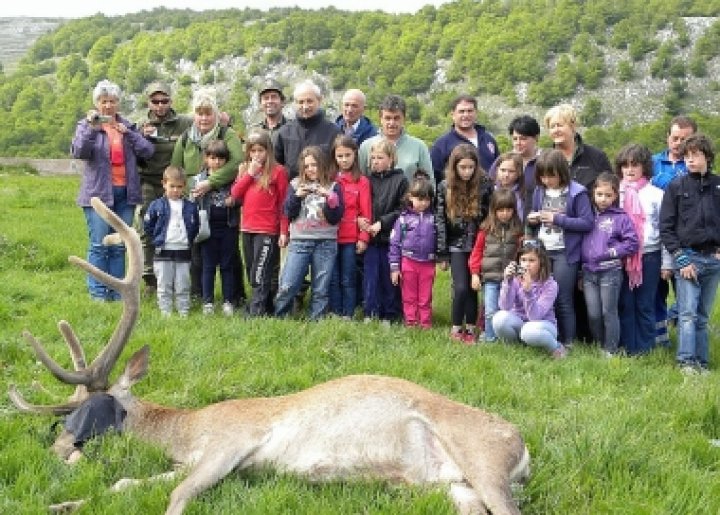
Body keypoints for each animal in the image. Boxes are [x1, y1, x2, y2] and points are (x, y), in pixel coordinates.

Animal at [8, 199, 532, 515]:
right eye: (62, 417)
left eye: (91, 409)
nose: (57, 452)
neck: (186, 433)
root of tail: (523, 449)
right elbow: (125, 485)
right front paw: (60, 505)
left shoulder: (232, 441)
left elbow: (175, 496)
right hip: (450, 484)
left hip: (483, 456)